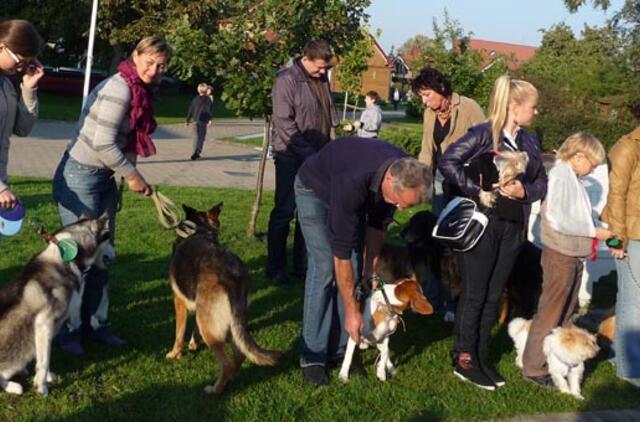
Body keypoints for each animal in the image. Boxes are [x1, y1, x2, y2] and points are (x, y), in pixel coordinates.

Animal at [0, 214, 112, 396]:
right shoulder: (44, 323)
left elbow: (42, 356)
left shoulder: (47, 329)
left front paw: (46, 377)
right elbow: (44, 360)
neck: (66, 260)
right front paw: (41, 387)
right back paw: (13, 386)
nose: (114, 254)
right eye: (109, 238)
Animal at [166, 203, 282, 394]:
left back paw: (215, 389)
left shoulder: (179, 303)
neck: (200, 230)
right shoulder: (200, 309)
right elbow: (194, 330)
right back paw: (231, 378)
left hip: (211, 330)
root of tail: (232, 275)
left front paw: (175, 353)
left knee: (226, 364)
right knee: (240, 354)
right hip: (230, 322)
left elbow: (178, 333)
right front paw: (193, 344)